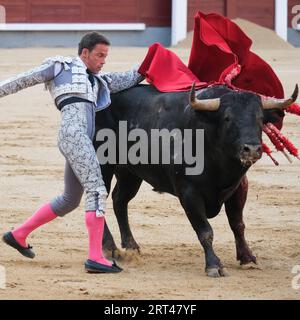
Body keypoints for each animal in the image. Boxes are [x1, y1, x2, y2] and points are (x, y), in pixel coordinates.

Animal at [94, 84, 298, 276]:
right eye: (227, 118)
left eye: (260, 118)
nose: (252, 149)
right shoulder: (189, 193)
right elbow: (205, 231)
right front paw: (214, 265)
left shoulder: (237, 187)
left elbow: (238, 224)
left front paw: (247, 257)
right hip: (103, 165)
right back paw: (109, 248)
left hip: (130, 172)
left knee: (120, 200)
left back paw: (131, 246)